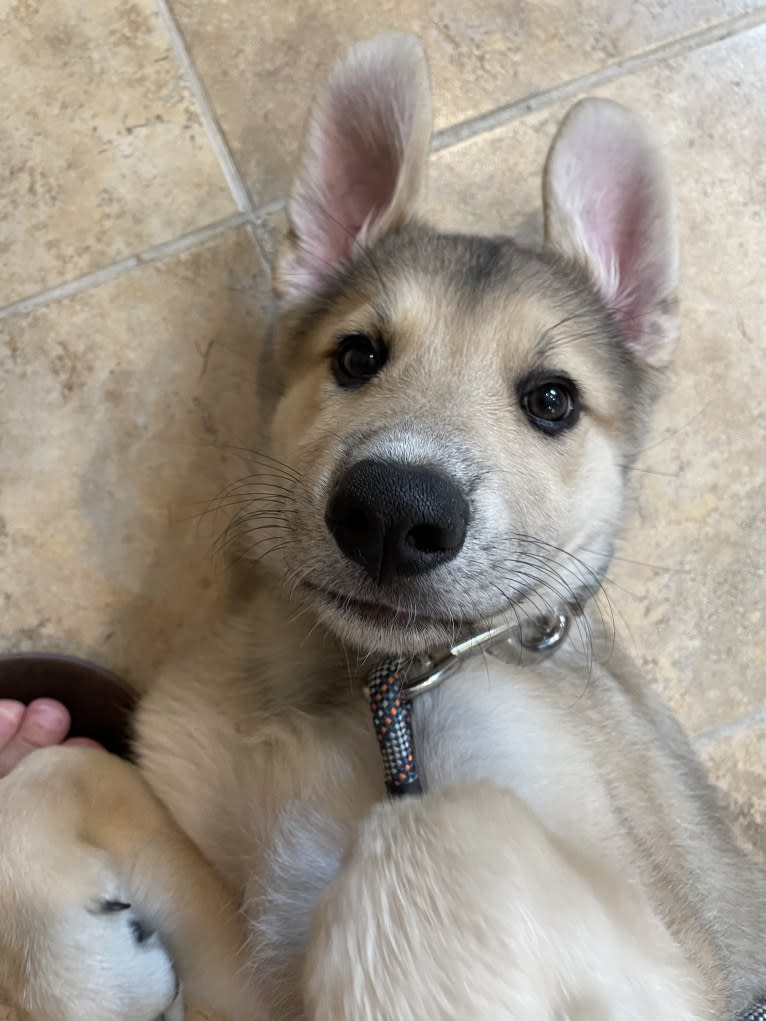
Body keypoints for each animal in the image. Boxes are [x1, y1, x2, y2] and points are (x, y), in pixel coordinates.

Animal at [1, 31, 766, 1021]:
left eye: (553, 400)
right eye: (358, 356)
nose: (394, 513)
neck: (364, 683)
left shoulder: (681, 966)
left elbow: (427, 831)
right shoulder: (249, 966)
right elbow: (54, 774)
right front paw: (90, 976)